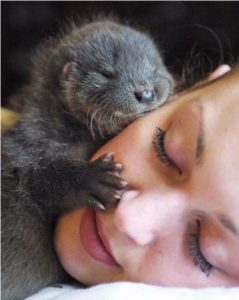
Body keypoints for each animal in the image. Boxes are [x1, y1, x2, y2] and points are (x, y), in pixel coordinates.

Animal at [0, 19, 175, 298]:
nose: (146, 93)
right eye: (106, 73)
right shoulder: (29, 146)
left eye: (154, 67)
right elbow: (41, 178)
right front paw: (95, 180)